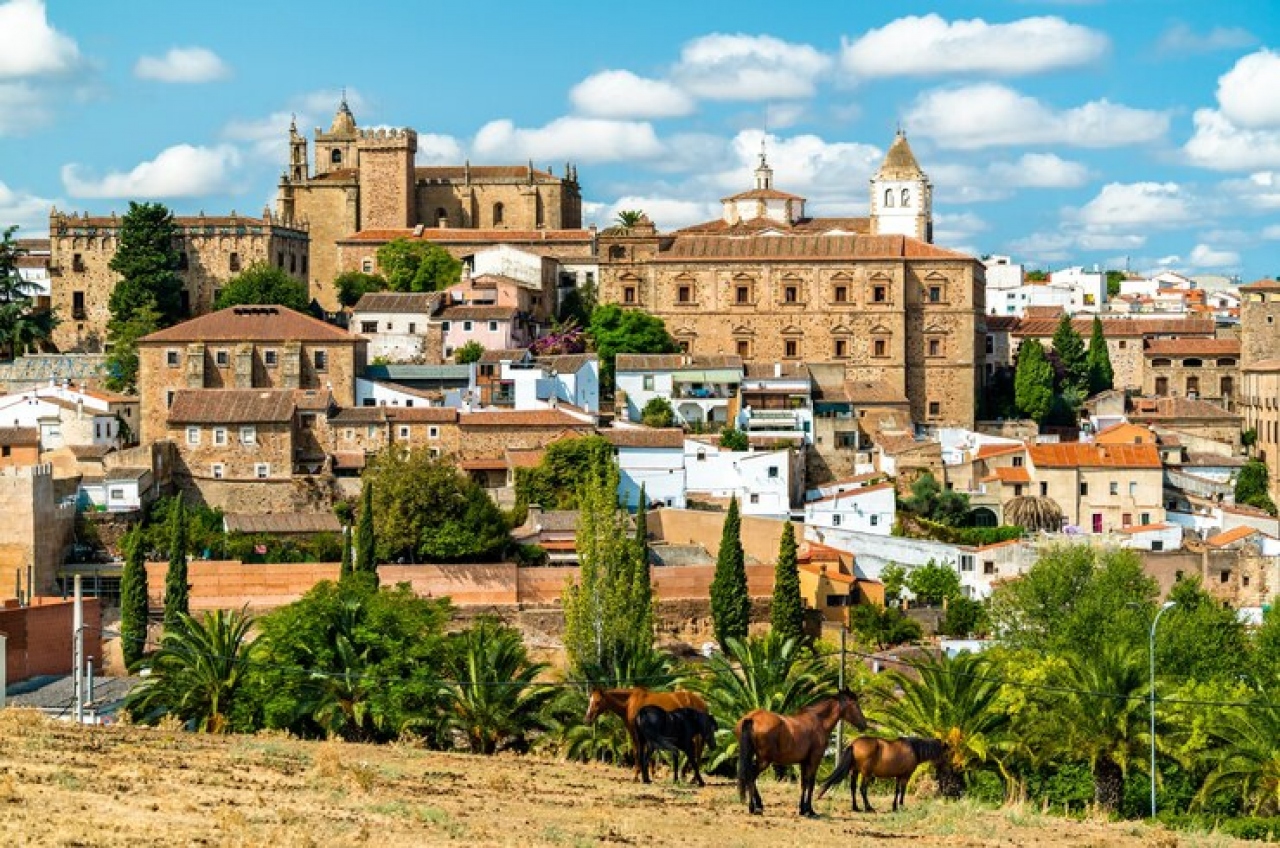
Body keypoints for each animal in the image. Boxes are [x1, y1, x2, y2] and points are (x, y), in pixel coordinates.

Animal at [737, 696, 865, 819]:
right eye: (855, 704)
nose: (864, 724)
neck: (819, 721)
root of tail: (752, 718)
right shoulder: (814, 760)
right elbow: (811, 783)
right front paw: (810, 810)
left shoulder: (803, 762)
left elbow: (804, 783)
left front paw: (802, 810)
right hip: (764, 761)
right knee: (751, 776)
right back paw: (754, 807)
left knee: (750, 775)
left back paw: (757, 806)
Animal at [814, 737, 947, 819]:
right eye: (944, 753)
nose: (944, 768)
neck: (913, 749)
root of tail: (854, 744)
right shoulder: (905, 776)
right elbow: (902, 791)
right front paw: (901, 806)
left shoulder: (898, 776)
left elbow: (896, 791)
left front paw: (894, 807)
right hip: (866, 774)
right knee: (862, 789)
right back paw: (869, 808)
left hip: (855, 771)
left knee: (853, 788)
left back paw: (856, 807)